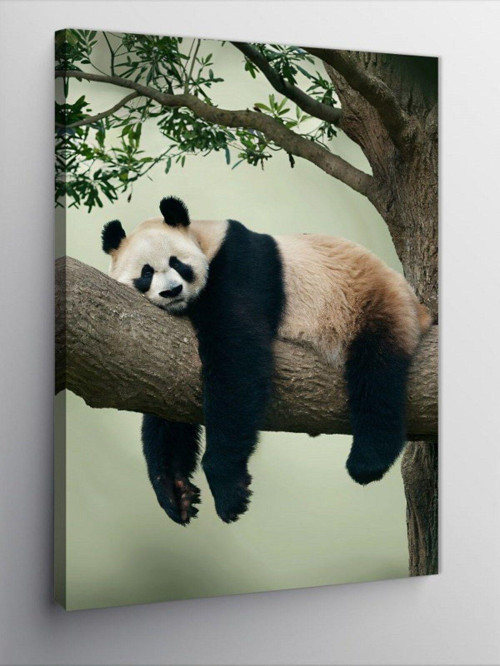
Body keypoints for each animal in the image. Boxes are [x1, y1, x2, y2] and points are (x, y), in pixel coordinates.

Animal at [102, 196, 431, 525]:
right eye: (145, 274)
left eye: (177, 263)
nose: (172, 291)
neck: (203, 241)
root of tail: (419, 308)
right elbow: (166, 391)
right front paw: (175, 489)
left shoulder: (239, 266)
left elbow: (237, 360)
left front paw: (228, 488)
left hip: (367, 304)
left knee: (377, 376)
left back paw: (368, 460)